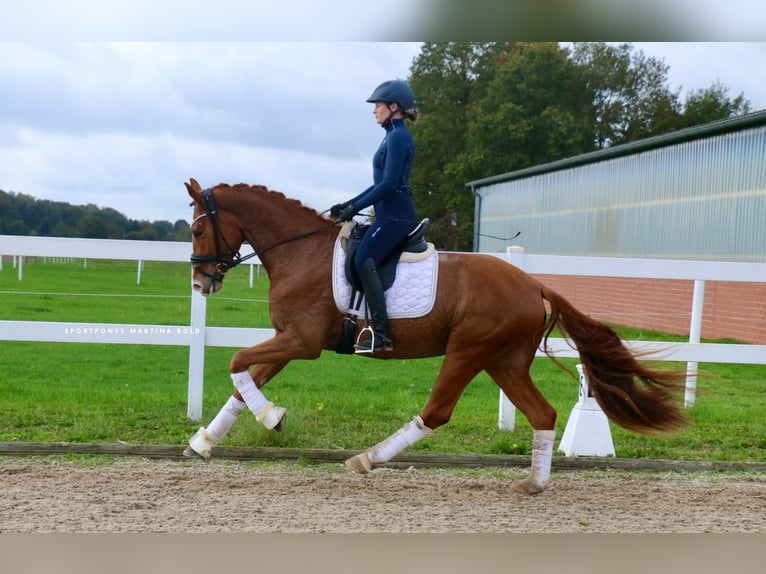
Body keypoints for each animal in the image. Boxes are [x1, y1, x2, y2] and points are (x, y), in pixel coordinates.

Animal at [183, 178, 689, 494]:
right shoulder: (289, 339)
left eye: (199, 227)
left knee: (437, 411)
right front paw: (206, 441)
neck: (300, 251)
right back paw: (534, 484)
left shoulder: (302, 343)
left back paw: (367, 458)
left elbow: (236, 363)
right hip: (503, 361)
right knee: (541, 413)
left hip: (468, 351)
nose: (201, 284)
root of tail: (533, 284)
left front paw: (272, 417)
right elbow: (244, 380)